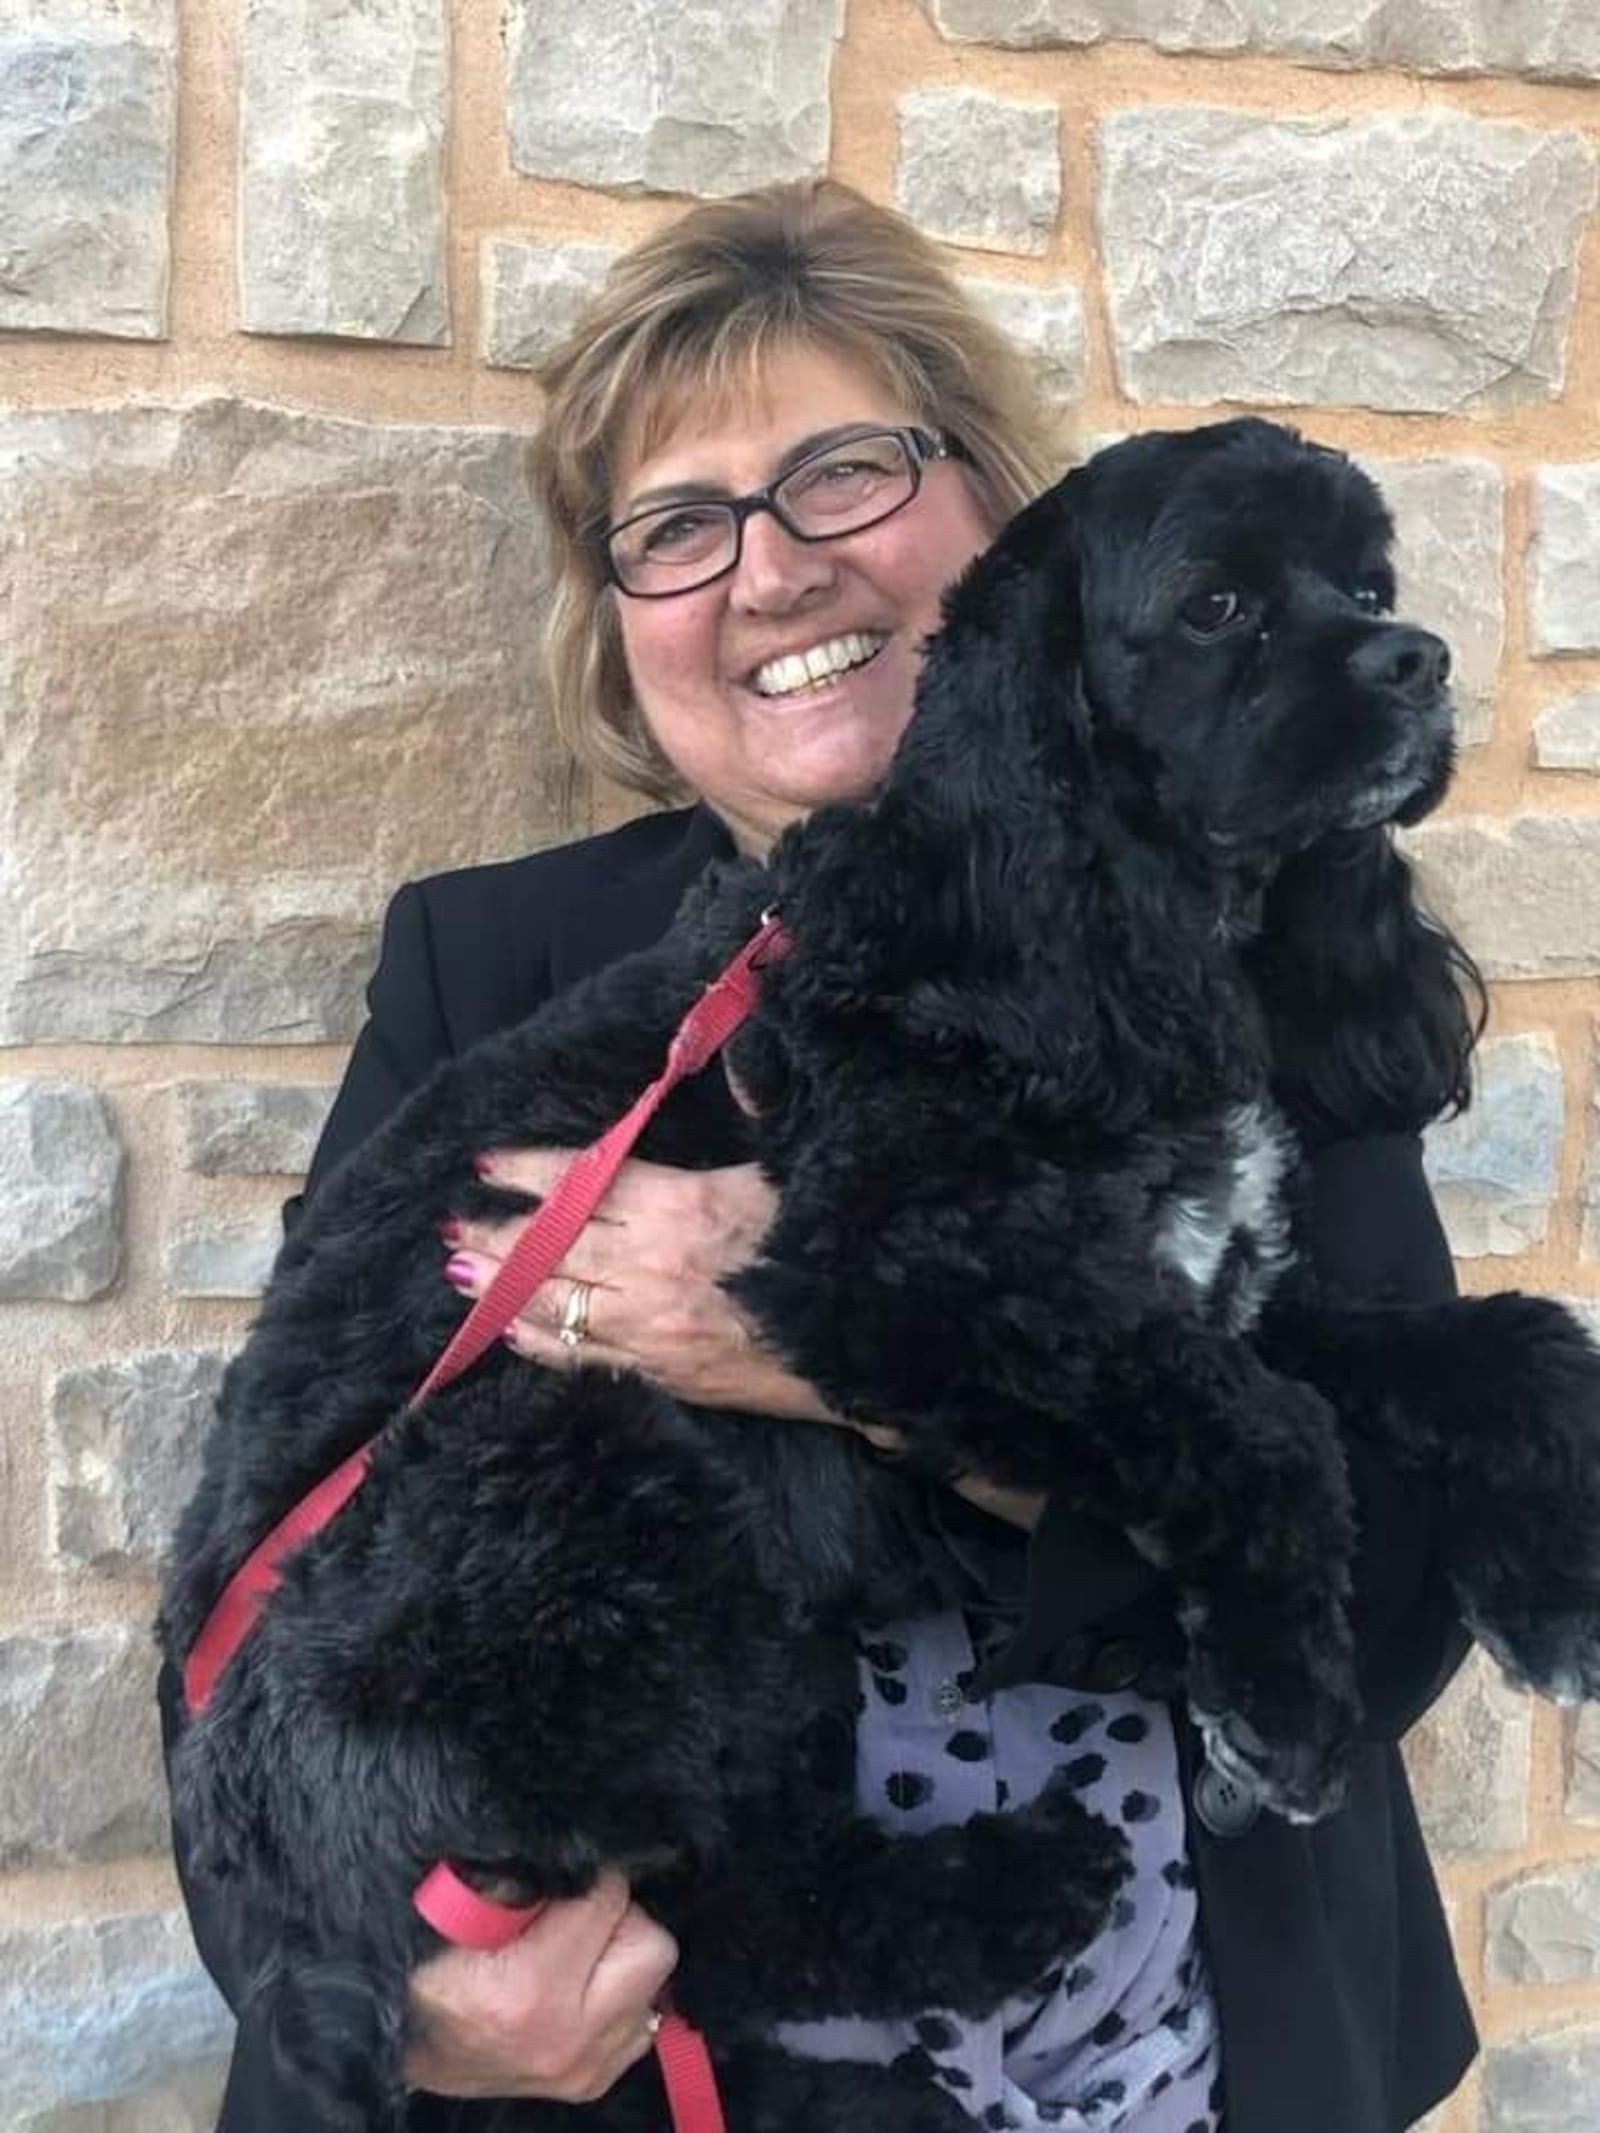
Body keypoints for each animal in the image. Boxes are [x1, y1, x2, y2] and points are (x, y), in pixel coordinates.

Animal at [156, 420, 1600, 2133]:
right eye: (1217, 603)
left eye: (1369, 583)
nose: (1418, 656)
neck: (1086, 946)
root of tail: (264, 1872)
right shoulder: (906, 1276)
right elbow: (1276, 1436)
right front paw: (1282, 1696)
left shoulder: (1213, 1290)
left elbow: (1496, 1343)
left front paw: (1552, 1578)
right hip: (585, 1462)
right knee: (716, 1900)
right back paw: (1017, 1885)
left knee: (722, 1910)